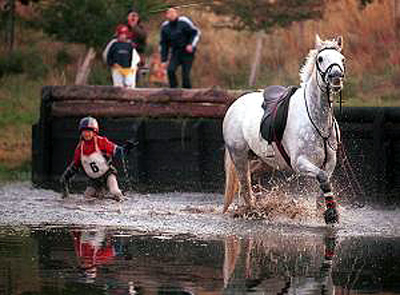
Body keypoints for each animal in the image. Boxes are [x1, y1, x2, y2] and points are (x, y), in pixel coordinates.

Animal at [223, 35, 346, 224]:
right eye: (320, 59)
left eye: (342, 59)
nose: (336, 78)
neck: (317, 119)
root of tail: (235, 104)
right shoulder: (300, 162)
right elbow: (323, 178)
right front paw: (331, 214)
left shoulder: (329, 162)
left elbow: (323, 185)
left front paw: (323, 212)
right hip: (239, 156)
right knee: (245, 185)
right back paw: (252, 211)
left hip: (259, 160)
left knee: (248, 181)